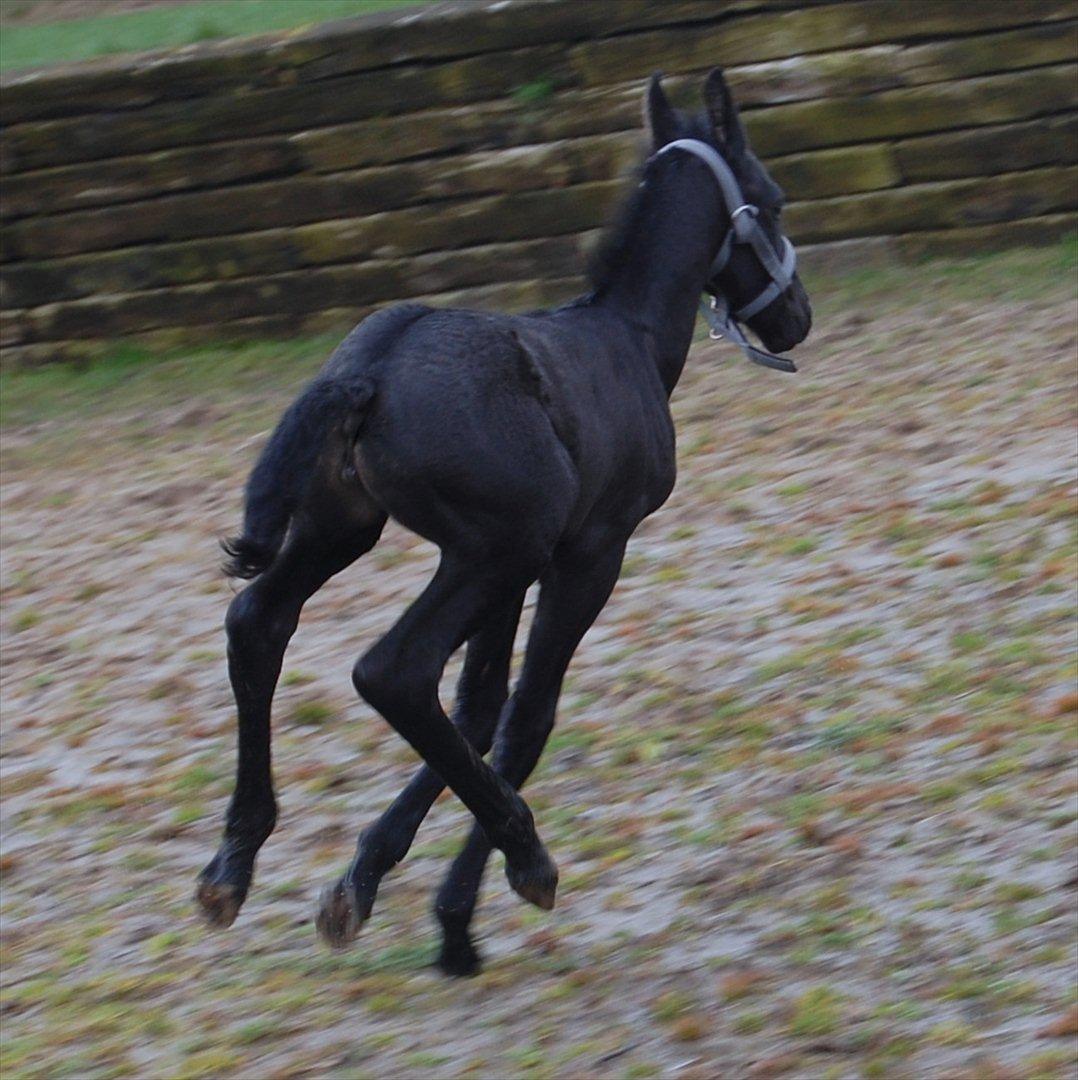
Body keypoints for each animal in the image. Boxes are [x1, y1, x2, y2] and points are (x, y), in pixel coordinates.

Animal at [198, 71, 812, 976]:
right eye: (771, 201)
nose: (797, 316)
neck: (628, 337)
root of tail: (368, 369)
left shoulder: (522, 570)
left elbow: (479, 706)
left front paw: (370, 875)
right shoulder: (585, 553)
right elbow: (526, 716)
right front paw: (459, 913)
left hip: (349, 531)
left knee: (258, 624)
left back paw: (233, 862)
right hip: (488, 549)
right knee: (394, 670)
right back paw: (526, 850)